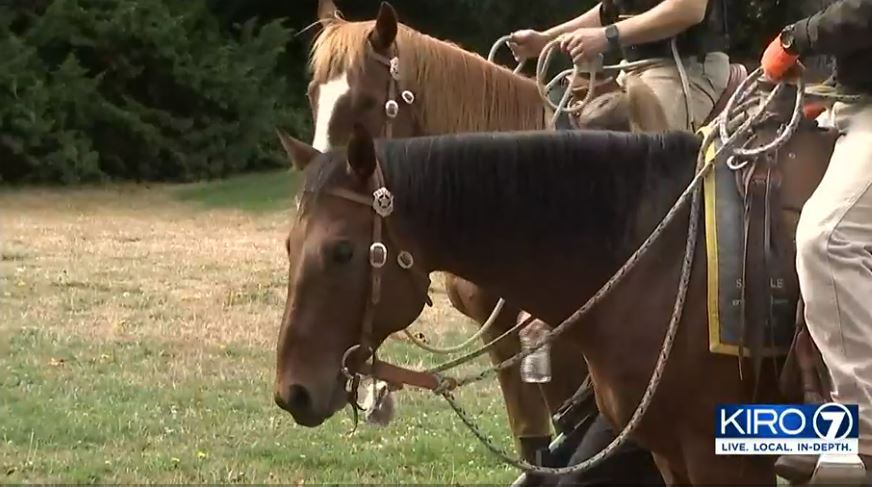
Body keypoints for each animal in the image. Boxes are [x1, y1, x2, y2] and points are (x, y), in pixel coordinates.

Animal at [274, 111, 836, 484]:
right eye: (289, 245)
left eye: (342, 251)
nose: (292, 392)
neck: (664, 254)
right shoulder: (669, 452)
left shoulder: (720, 456)